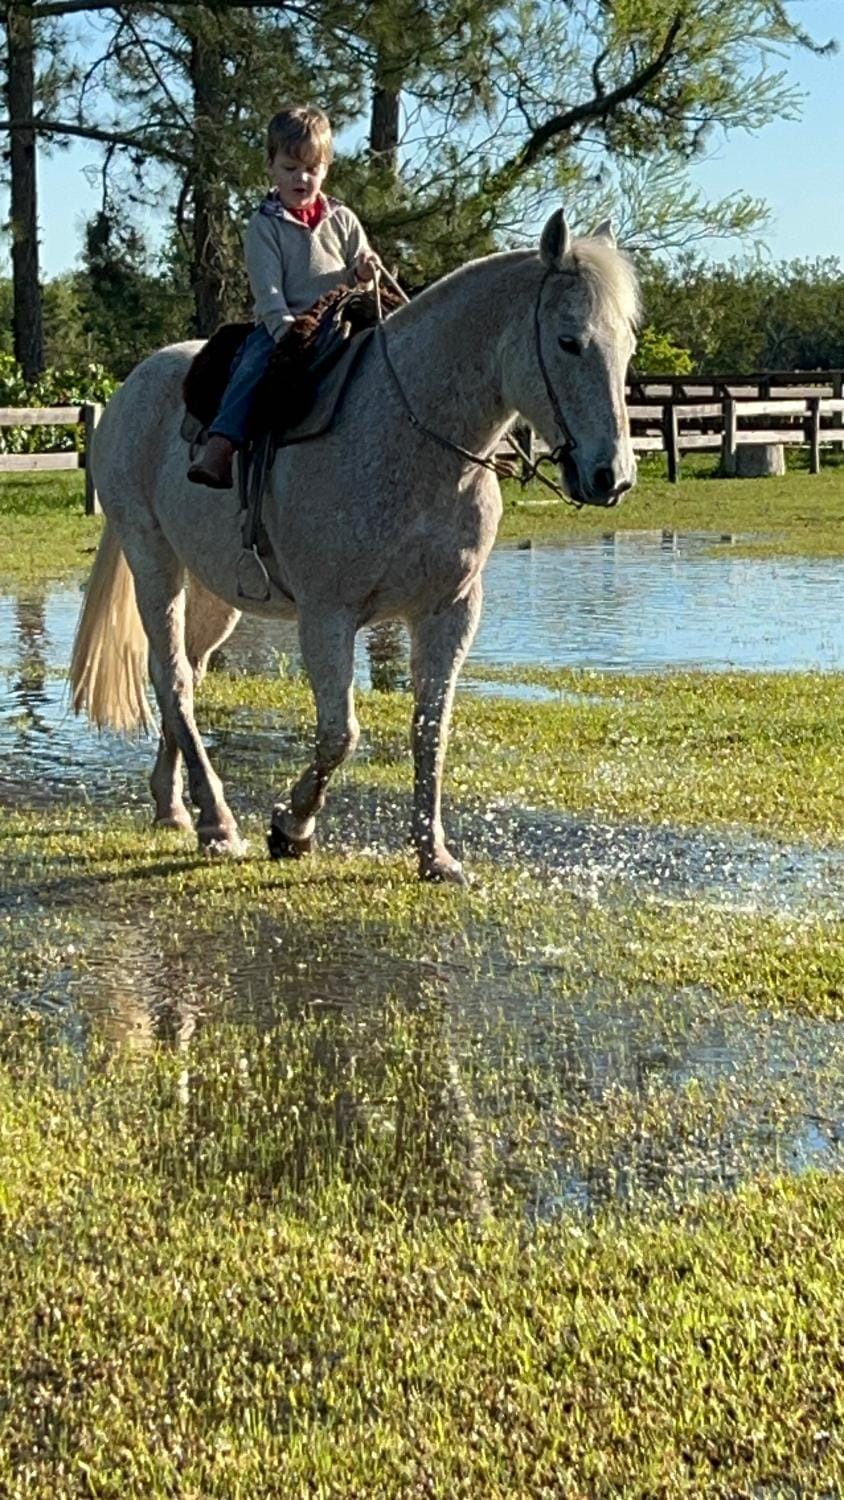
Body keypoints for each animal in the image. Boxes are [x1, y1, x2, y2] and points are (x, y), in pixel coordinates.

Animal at [70, 209, 639, 883]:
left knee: (185, 671)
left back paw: (173, 805)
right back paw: (218, 822)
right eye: (568, 341)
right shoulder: (327, 615)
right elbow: (341, 733)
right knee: (173, 677)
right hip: (154, 558)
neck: (415, 435)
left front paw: (434, 855)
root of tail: (134, 385)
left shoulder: (450, 611)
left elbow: (430, 731)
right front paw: (291, 828)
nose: (612, 476)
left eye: (628, 347)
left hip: (215, 589)